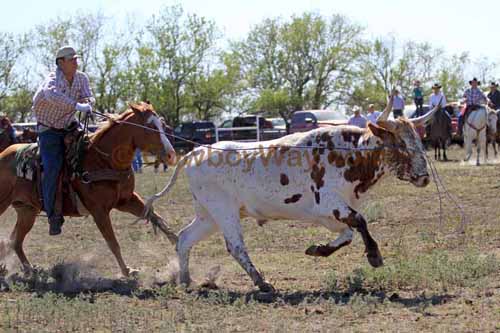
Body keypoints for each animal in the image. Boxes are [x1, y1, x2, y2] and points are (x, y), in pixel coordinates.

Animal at [0, 102, 178, 276]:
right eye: (150, 127)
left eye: (163, 125)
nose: (171, 155)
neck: (103, 160)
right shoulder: (99, 210)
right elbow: (112, 242)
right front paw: (127, 271)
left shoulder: (127, 200)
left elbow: (157, 218)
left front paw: (178, 247)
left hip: (27, 210)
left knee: (15, 241)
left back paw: (31, 270)